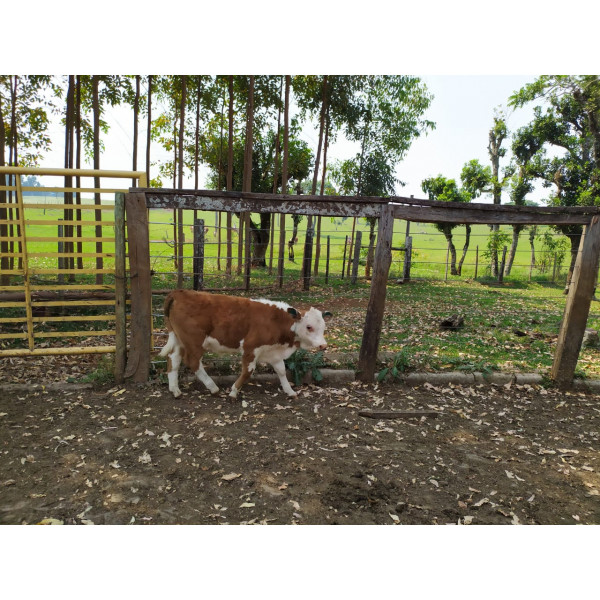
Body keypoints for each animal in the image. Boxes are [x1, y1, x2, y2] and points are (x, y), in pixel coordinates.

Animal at [159, 290, 332, 399]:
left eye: (324, 326)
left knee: (173, 358)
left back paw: (175, 389)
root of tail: (179, 292)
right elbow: (248, 372)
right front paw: (234, 392)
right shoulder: (250, 347)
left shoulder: (273, 352)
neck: (276, 321)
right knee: (193, 362)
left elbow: (282, 371)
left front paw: (290, 391)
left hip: (180, 340)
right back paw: (213, 388)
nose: (323, 346)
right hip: (194, 342)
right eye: (309, 327)